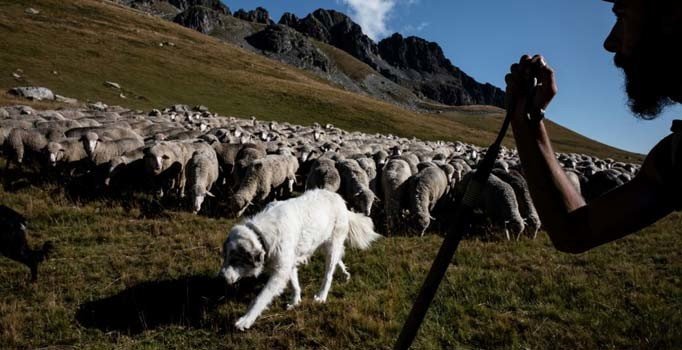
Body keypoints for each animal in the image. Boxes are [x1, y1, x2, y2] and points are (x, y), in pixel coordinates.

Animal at [218, 189, 380, 330]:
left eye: (235, 260)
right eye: (225, 258)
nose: (221, 278)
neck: (261, 234)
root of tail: (340, 199)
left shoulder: (280, 272)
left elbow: (260, 298)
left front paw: (246, 319)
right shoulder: (288, 263)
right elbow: (294, 284)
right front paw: (295, 301)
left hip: (332, 246)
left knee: (328, 274)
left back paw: (322, 296)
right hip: (326, 245)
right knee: (337, 260)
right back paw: (345, 274)